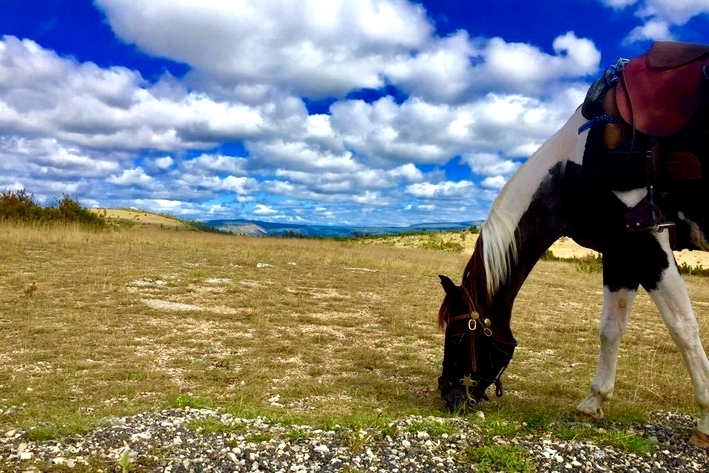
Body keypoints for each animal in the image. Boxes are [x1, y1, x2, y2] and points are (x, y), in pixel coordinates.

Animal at [434, 40, 708, 446]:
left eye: (455, 338)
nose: (449, 395)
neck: (571, 170)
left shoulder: (649, 244)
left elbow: (683, 328)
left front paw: (705, 422)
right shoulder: (621, 251)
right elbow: (610, 329)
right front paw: (592, 404)